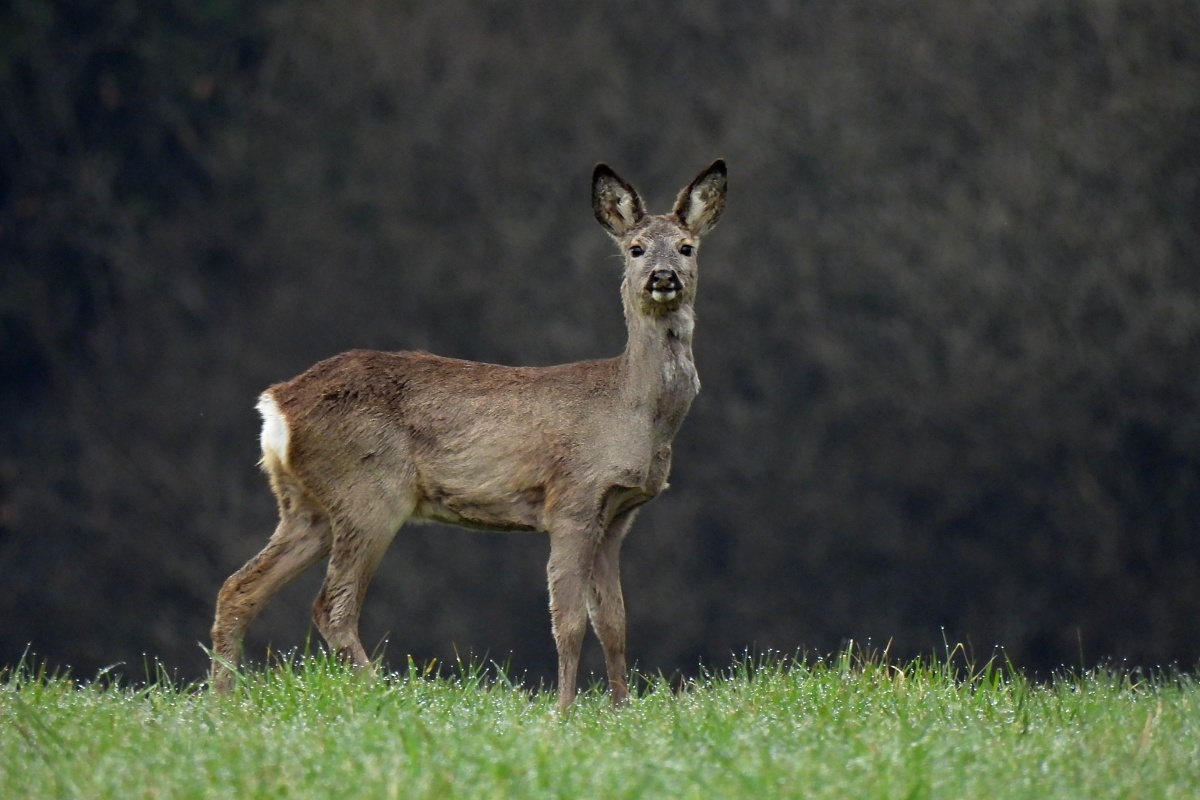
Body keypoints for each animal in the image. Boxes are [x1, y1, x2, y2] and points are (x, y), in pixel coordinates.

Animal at [210, 160, 727, 712]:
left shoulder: (617, 517)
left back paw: (222, 703)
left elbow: (614, 622)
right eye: (635, 249)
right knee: (331, 606)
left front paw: (620, 709)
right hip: (369, 494)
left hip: (307, 506)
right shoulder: (572, 499)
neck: (631, 411)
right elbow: (567, 621)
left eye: (686, 247)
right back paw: (387, 696)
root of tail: (277, 404)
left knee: (238, 589)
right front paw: (564, 711)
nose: (662, 277)